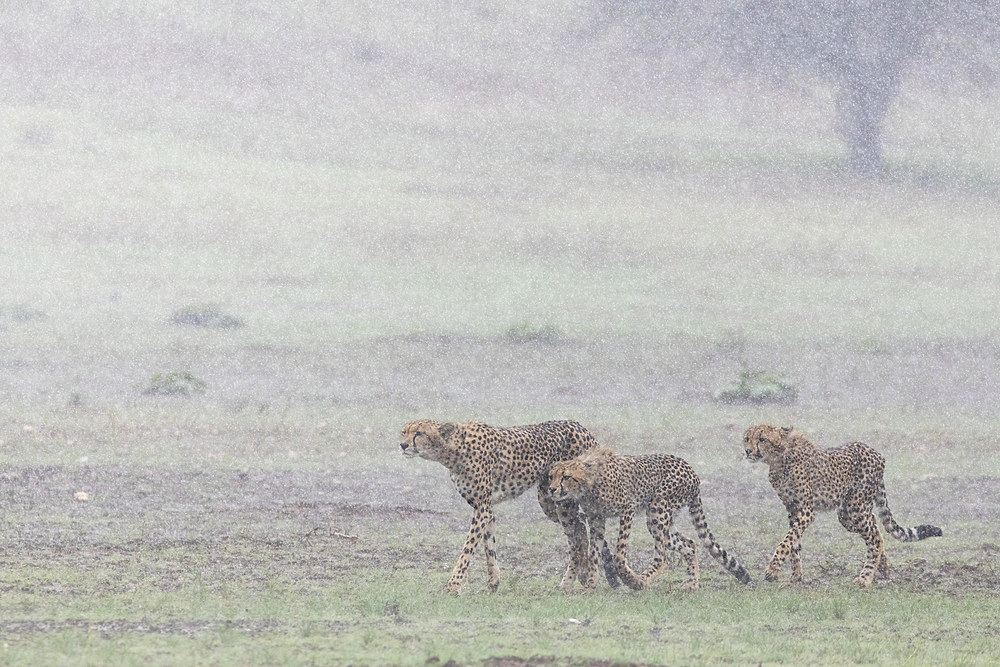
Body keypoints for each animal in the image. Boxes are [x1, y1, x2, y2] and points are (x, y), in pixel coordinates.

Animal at [400, 420, 608, 596]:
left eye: (419, 433)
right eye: (404, 432)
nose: (403, 445)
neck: (454, 449)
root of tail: (580, 426)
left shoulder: (482, 508)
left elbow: (467, 549)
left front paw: (454, 585)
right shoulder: (486, 507)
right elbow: (489, 546)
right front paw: (493, 582)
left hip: (561, 500)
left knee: (579, 534)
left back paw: (578, 579)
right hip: (549, 500)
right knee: (579, 528)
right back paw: (580, 576)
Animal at [548, 446, 752, 592]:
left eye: (565, 477)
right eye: (551, 476)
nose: (551, 489)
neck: (588, 482)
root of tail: (691, 470)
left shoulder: (628, 508)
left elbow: (620, 552)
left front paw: (627, 577)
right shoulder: (596, 518)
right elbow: (593, 553)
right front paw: (590, 585)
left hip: (657, 510)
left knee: (662, 557)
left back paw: (640, 581)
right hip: (663, 520)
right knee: (690, 544)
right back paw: (691, 584)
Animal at [744, 426, 944, 588]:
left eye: (762, 439)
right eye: (747, 438)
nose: (747, 450)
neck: (778, 459)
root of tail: (874, 450)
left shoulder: (806, 511)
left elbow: (786, 540)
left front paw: (773, 570)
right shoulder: (793, 510)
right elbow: (793, 543)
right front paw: (795, 579)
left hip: (856, 508)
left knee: (875, 538)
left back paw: (865, 578)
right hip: (848, 513)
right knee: (874, 524)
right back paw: (883, 567)